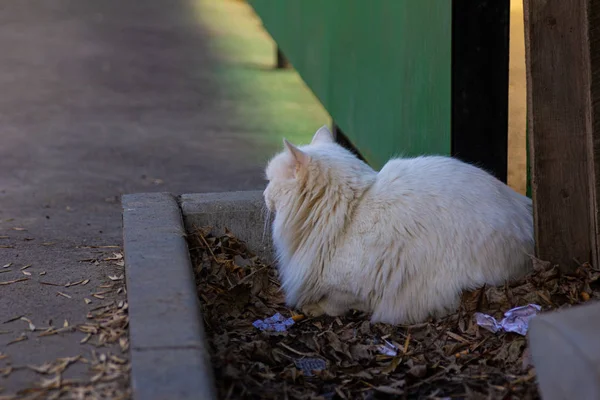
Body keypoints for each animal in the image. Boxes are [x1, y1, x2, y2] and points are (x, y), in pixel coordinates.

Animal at [264, 126, 536, 324]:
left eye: (269, 181)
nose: (264, 194)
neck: (351, 210)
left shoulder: (351, 289)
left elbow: (335, 302)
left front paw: (312, 307)